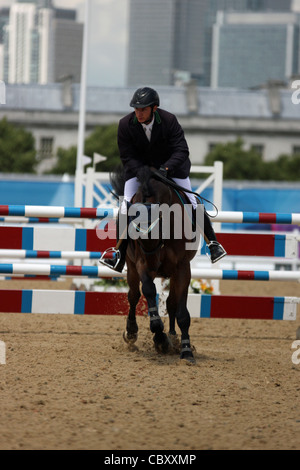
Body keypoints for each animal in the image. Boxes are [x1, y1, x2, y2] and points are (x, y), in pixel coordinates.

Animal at [109, 165, 199, 364]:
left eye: (158, 222)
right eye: (133, 226)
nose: (150, 255)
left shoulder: (182, 268)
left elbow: (182, 312)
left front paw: (186, 350)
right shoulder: (142, 265)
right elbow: (149, 291)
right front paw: (159, 337)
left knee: (172, 303)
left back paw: (174, 337)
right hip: (132, 268)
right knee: (133, 296)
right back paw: (132, 332)